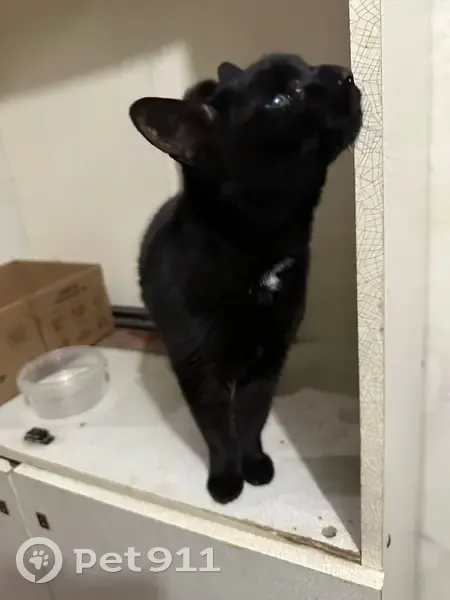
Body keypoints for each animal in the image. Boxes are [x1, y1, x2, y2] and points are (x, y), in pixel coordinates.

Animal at [129, 53, 362, 504]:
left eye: (306, 65)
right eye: (278, 98)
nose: (345, 73)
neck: (261, 253)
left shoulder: (269, 359)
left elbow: (252, 418)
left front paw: (253, 463)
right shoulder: (200, 370)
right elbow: (218, 431)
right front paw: (225, 478)